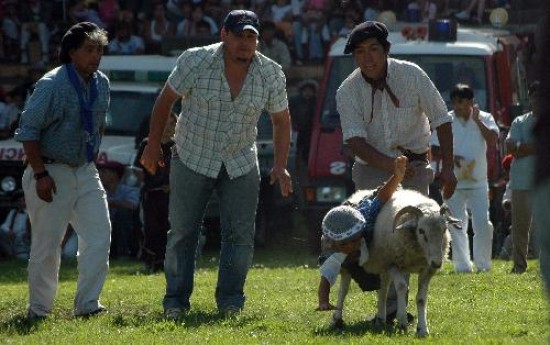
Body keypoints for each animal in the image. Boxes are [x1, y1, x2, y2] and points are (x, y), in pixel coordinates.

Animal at [334, 188, 464, 336]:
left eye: (444, 230)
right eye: (421, 231)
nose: (437, 263)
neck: (419, 252)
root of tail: (359, 193)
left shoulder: (426, 270)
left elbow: (421, 298)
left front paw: (423, 329)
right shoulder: (393, 263)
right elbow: (401, 287)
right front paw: (402, 322)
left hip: (382, 265)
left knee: (383, 289)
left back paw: (381, 319)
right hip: (349, 264)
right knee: (343, 290)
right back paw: (337, 319)